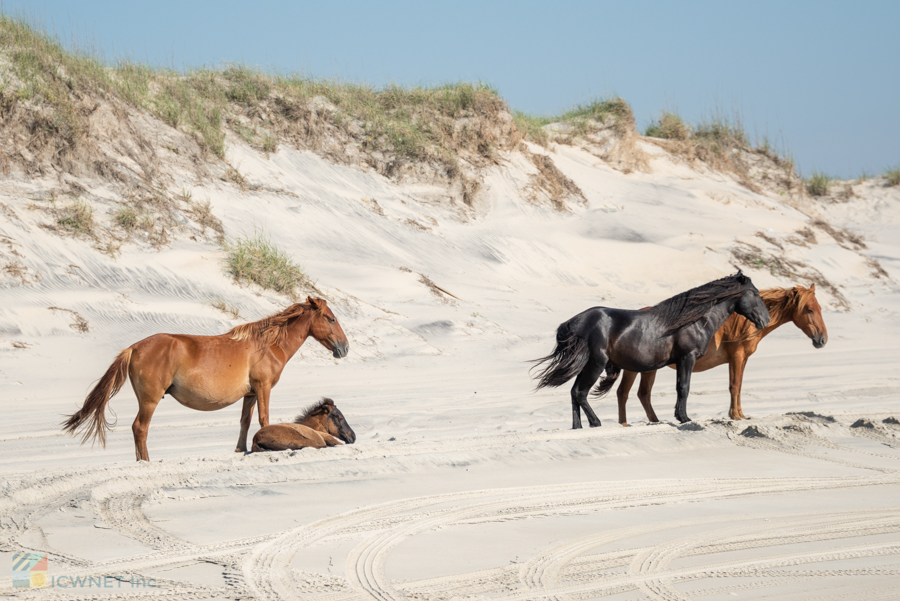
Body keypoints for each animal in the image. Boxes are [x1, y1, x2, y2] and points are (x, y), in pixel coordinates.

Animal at [62, 298, 348, 462]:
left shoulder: (250, 393)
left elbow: (245, 422)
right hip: (150, 400)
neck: (267, 344)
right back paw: (144, 462)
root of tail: (134, 347)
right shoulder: (263, 388)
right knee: (140, 428)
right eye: (331, 318)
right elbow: (264, 420)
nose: (344, 348)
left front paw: (240, 450)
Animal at [532, 272, 768, 426]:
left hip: (587, 366)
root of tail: (572, 322)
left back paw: (579, 427)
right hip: (595, 364)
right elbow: (683, 387)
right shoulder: (687, 358)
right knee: (580, 393)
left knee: (574, 393)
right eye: (755, 293)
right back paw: (596, 422)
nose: (765, 320)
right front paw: (683, 418)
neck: (695, 320)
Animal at [620, 284, 828, 424]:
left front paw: (741, 414)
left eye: (819, 308)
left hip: (648, 369)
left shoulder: (742, 359)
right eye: (809, 309)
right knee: (624, 392)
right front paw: (735, 415)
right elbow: (734, 386)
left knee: (643, 394)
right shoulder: (737, 357)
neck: (746, 322)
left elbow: (739, 386)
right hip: (635, 368)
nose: (822, 339)